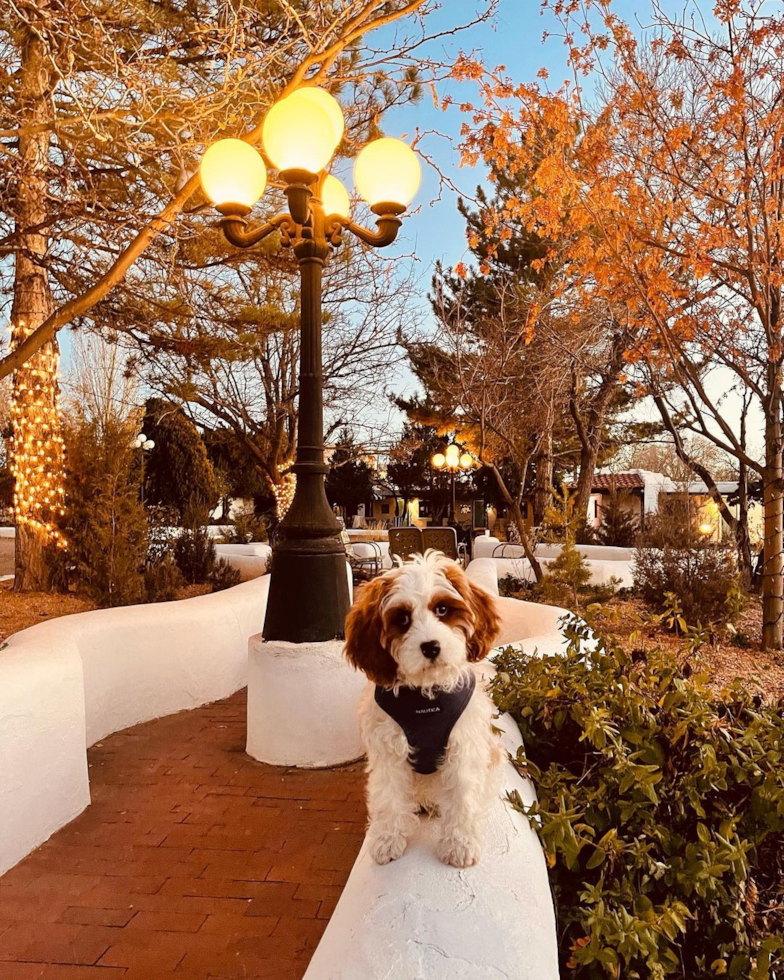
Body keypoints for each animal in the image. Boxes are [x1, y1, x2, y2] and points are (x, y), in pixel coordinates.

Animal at [344, 552, 502, 864]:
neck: (426, 696)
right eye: (403, 619)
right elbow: (389, 796)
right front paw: (388, 839)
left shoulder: (463, 745)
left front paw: (460, 843)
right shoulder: (387, 748)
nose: (431, 647)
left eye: (442, 609)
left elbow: (462, 794)